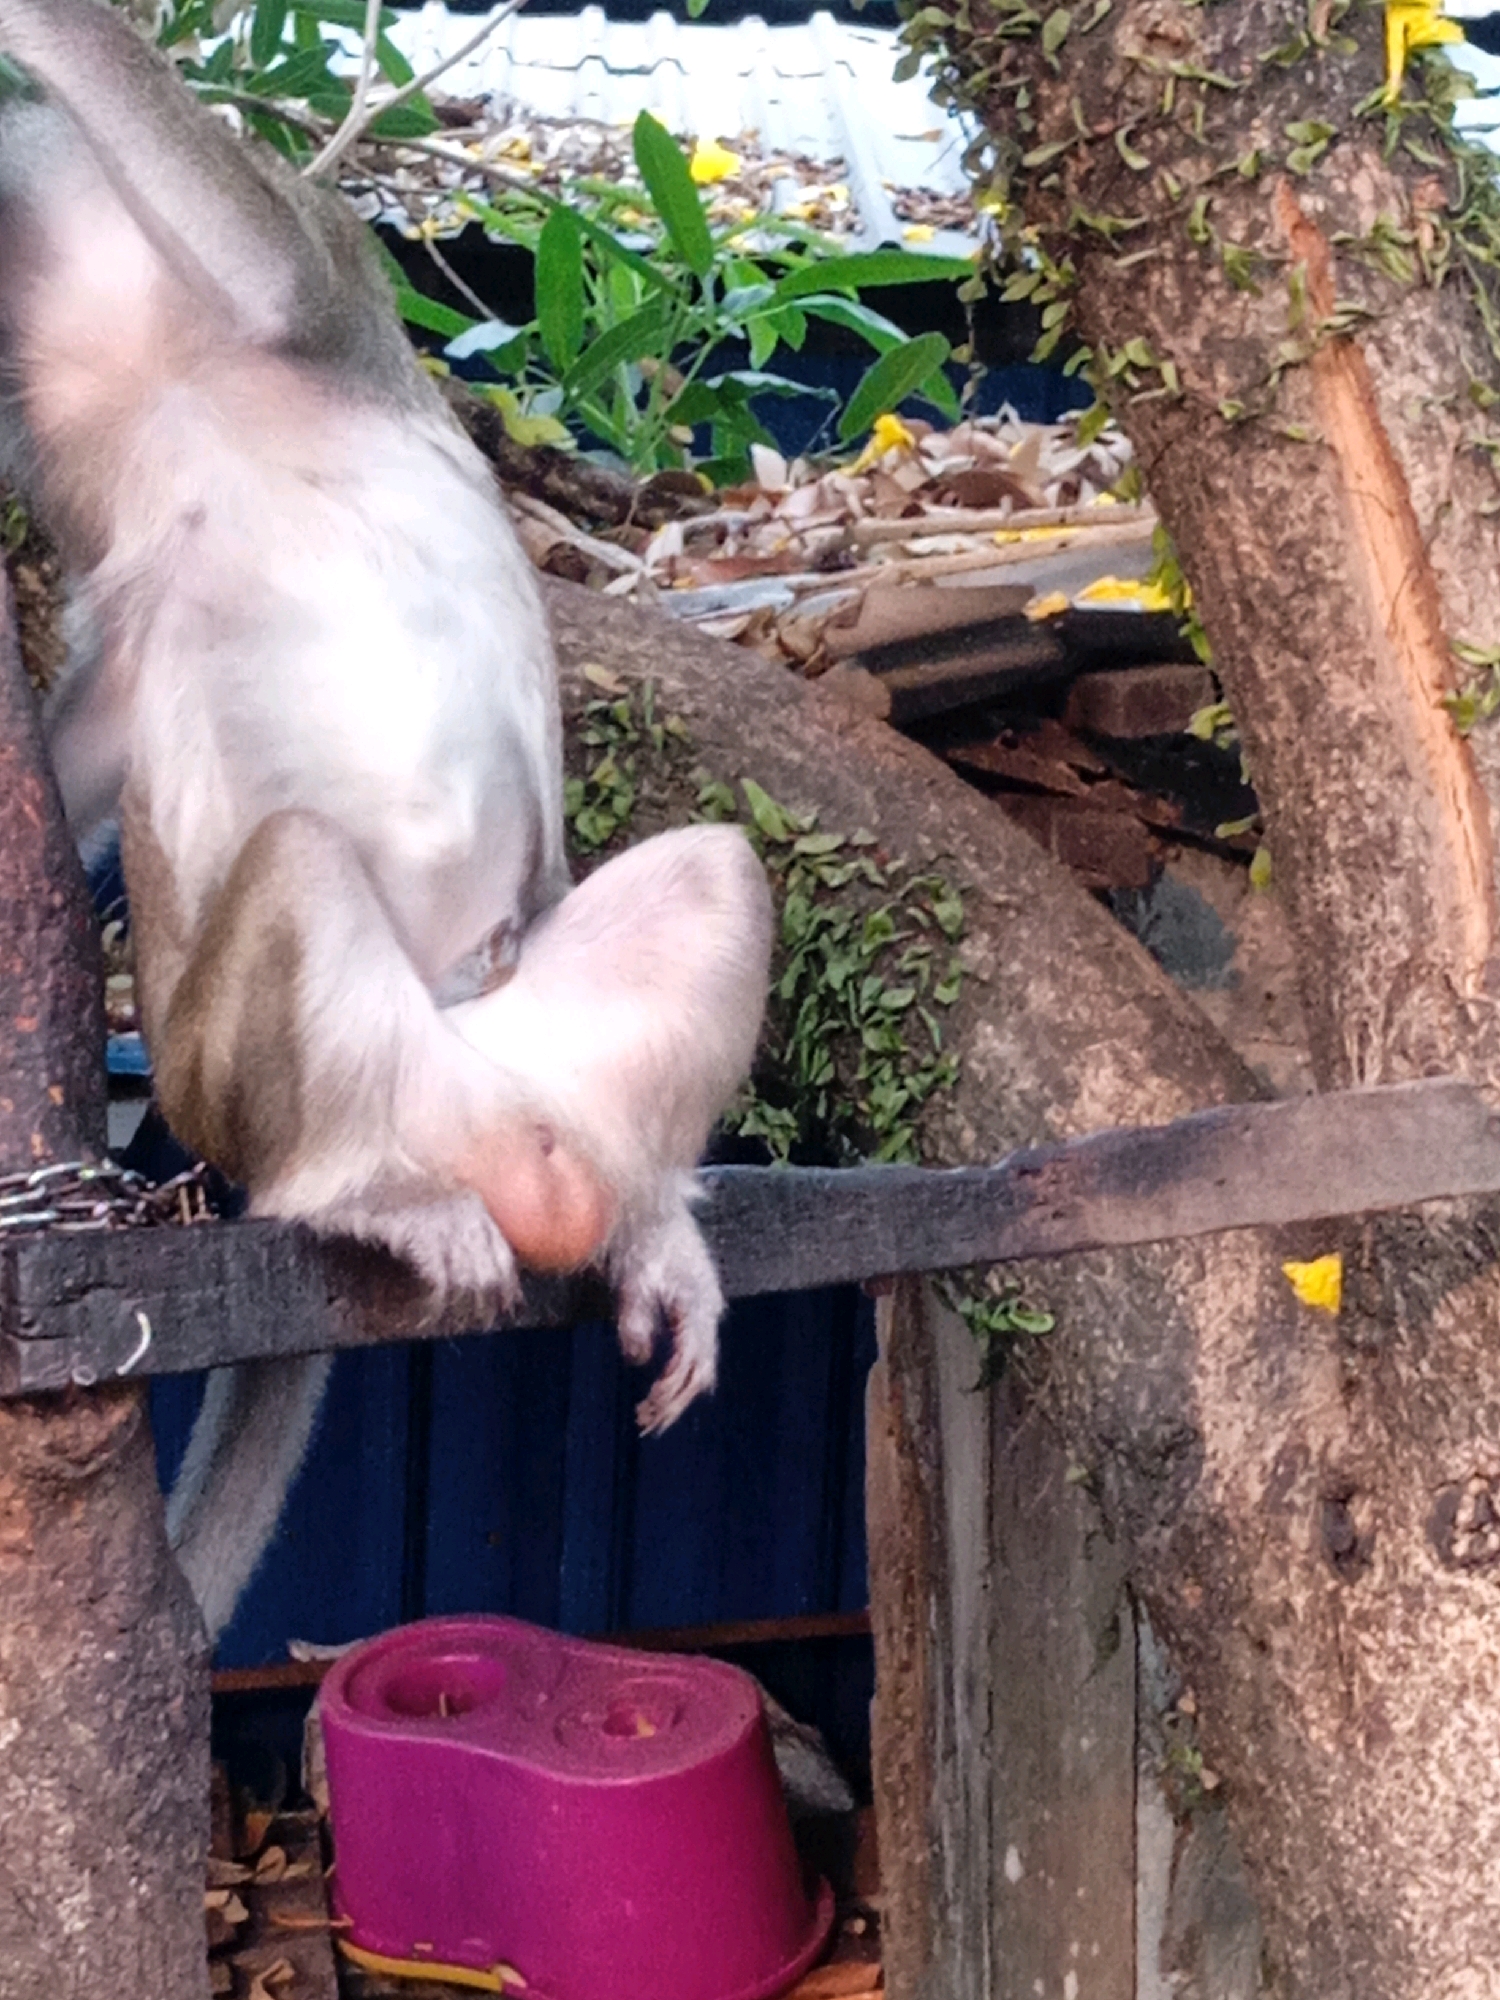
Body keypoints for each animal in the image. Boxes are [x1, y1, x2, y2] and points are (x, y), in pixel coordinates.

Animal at [0, 0, 772, 1638]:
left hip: (532, 1048)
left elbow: (260, 255)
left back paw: (646, 1223)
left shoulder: (313, 274)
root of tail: (452, 1103)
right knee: (299, 873)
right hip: (250, 1083)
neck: (160, 376)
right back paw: (356, 1194)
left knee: (719, 878)